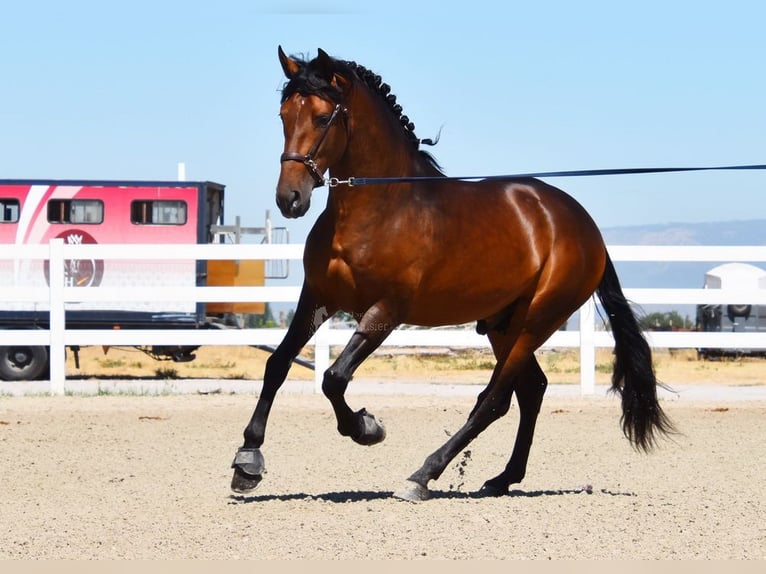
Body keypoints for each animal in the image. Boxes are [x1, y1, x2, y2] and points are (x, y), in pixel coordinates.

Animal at [231, 47, 676, 502]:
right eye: (284, 115)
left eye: (323, 118)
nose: (289, 199)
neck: (380, 209)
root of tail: (585, 227)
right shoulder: (319, 297)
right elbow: (278, 364)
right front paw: (248, 461)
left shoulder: (386, 310)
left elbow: (334, 378)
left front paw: (366, 428)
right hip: (503, 324)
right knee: (531, 389)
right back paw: (502, 478)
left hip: (537, 321)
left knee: (496, 399)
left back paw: (423, 475)